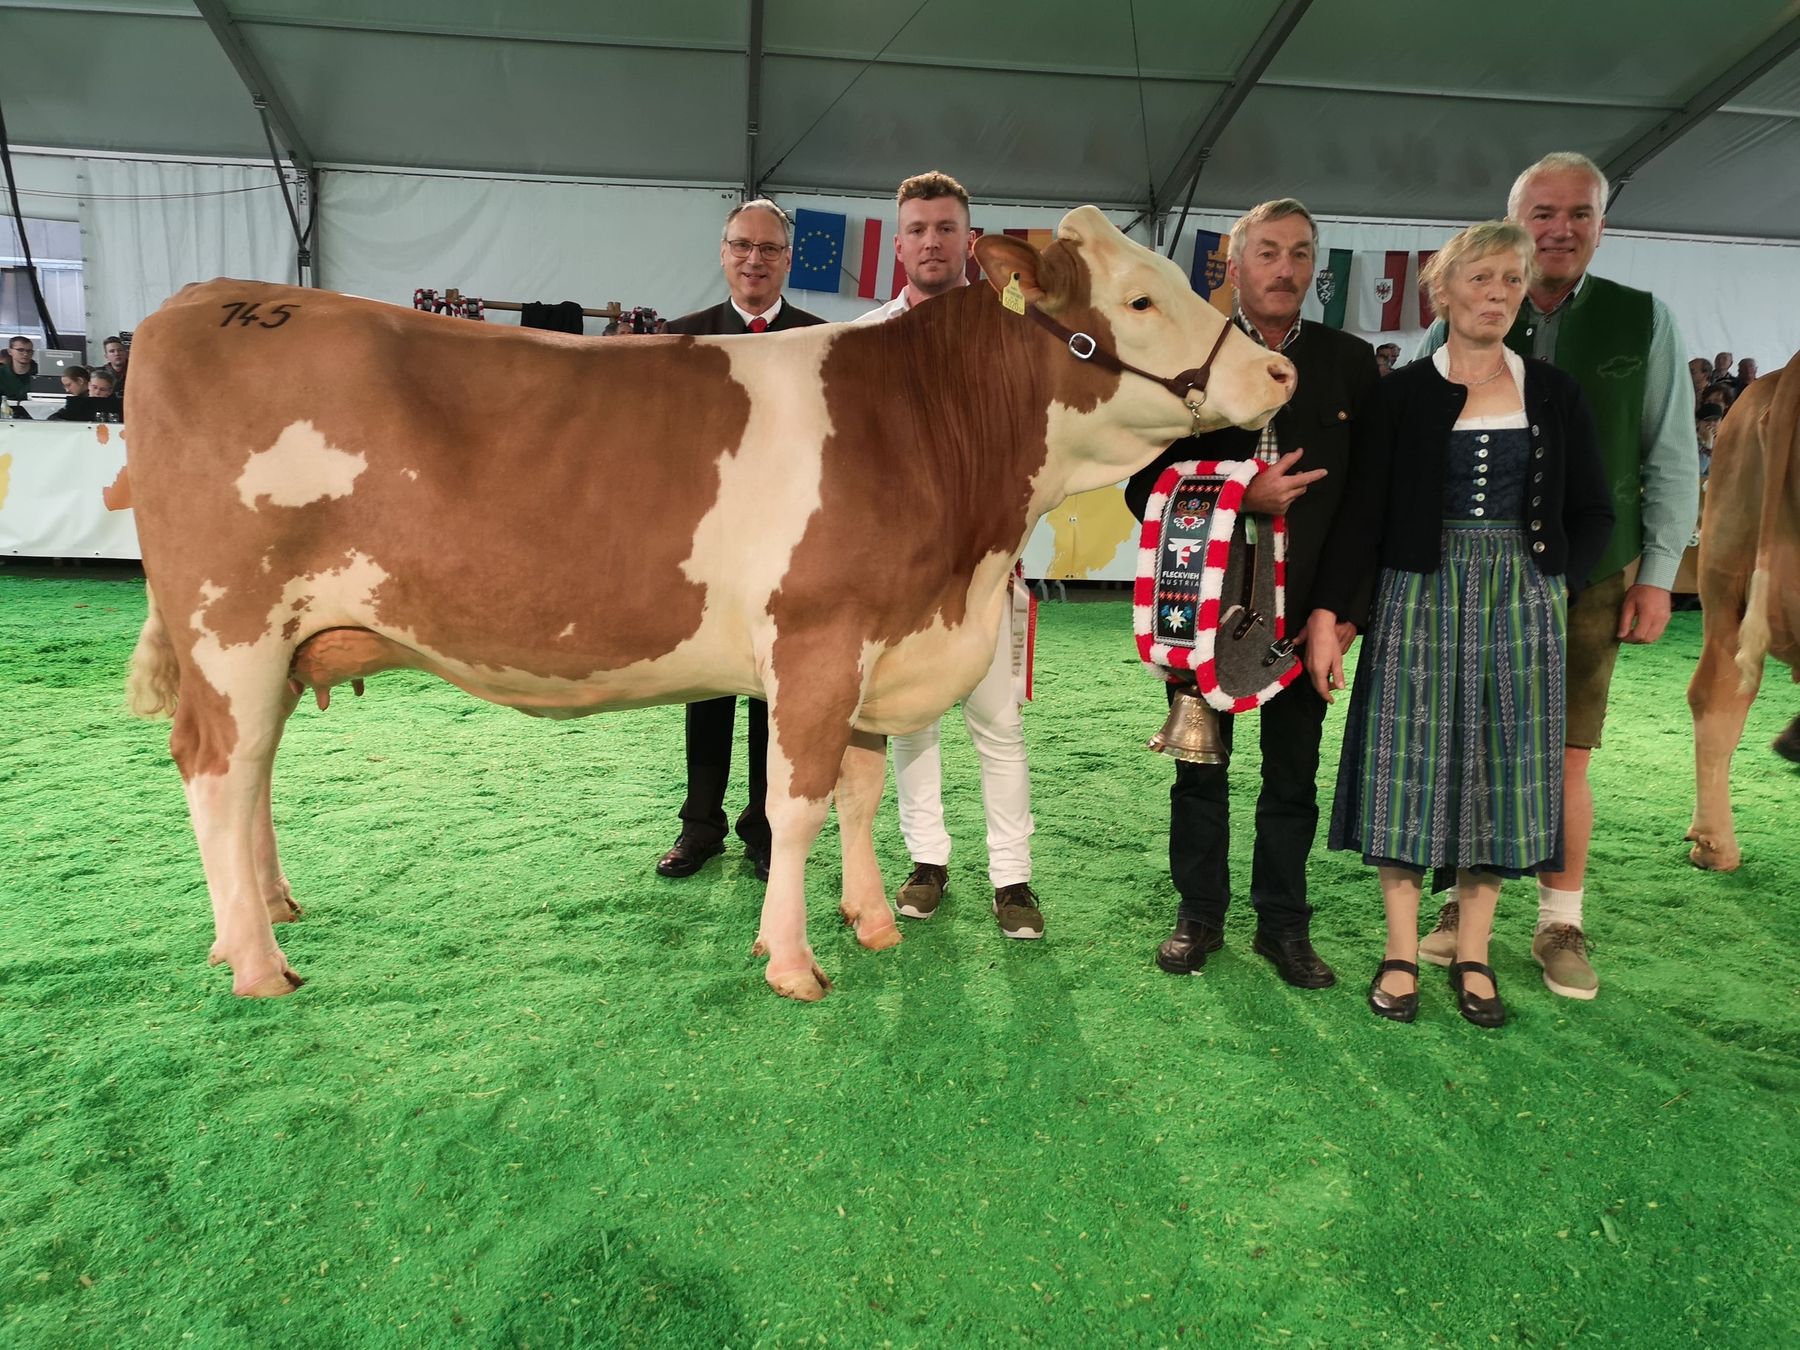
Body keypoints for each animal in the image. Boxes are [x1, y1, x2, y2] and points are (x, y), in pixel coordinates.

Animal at [123, 206, 1296, 1000]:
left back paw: (262, 912)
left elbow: (858, 795)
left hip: (278, 642)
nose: (1279, 374)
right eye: (1139, 299)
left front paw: (873, 922)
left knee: (253, 770)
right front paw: (792, 961)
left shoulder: (875, 649)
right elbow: (799, 802)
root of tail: (207, 300)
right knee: (217, 768)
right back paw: (259, 963)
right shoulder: (819, 640)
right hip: (230, 626)